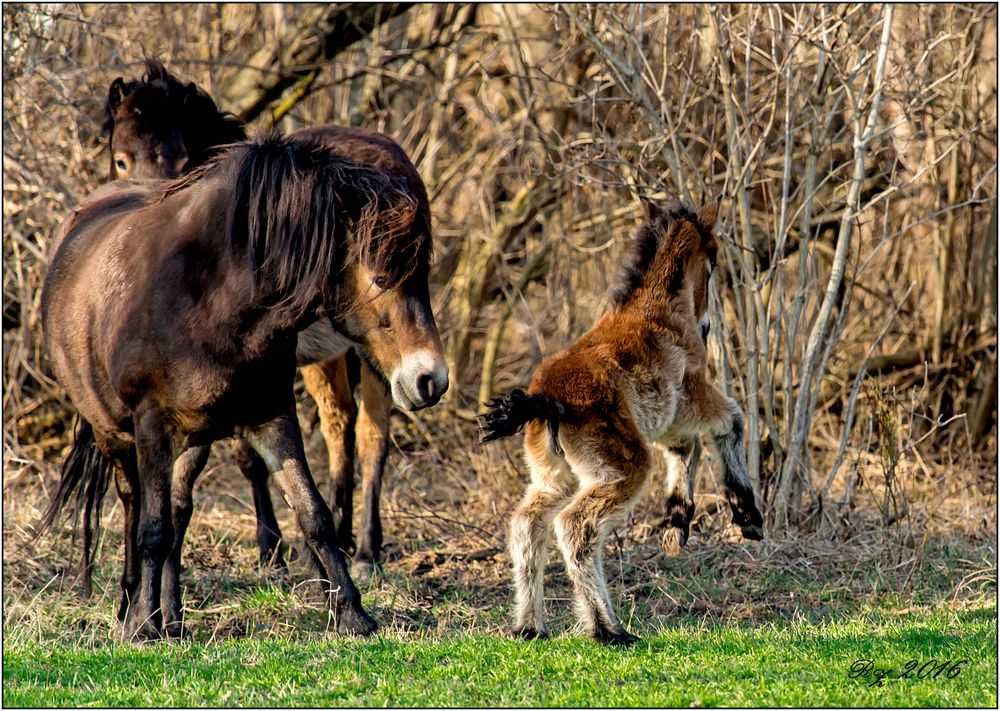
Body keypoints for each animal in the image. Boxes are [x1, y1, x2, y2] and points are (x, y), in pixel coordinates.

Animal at [42, 132, 450, 640]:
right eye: (380, 277)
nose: (431, 379)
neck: (209, 301)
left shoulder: (271, 416)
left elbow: (313, 515)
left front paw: (352, 614)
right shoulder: (152, 425)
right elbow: (152, 531)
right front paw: (142, 626)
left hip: (198, 437)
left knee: (181, 507)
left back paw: (173, 614)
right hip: (113, 434)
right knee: (136, 504)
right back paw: (133, 603)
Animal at [103, 61, 424, 580]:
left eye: (178, 155)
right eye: (120, 160)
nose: (147, 200)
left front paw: (273, 545)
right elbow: (249, 456)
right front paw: (271, 546)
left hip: (371, 352)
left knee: (372, 434)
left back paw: (366, 549)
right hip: (324, 358)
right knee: (339, 424)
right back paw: (339, 532)